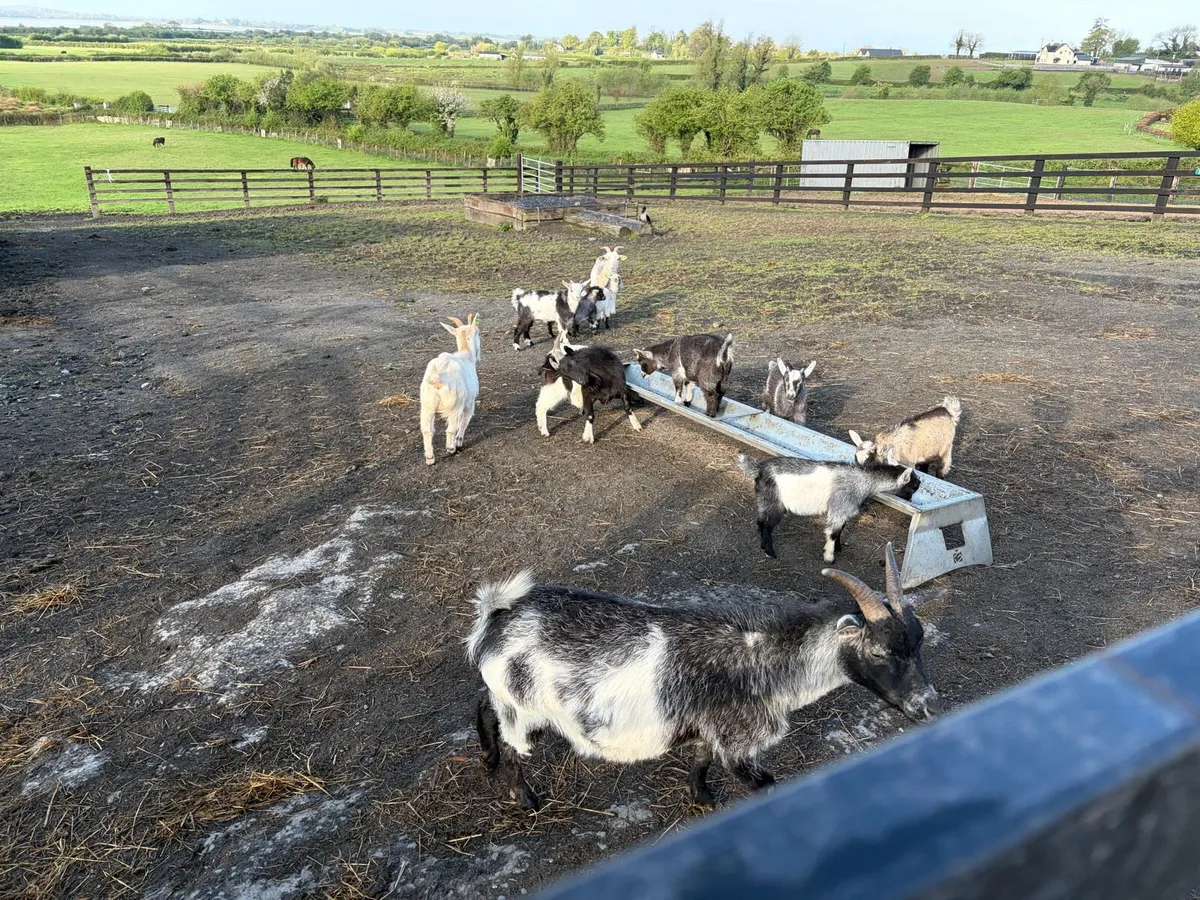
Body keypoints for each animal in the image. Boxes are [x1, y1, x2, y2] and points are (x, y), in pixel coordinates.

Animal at [419, 315, 481, 465]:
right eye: (478, 333)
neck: (466, 355)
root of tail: (438, 376)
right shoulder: (469, 401)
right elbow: (465, 421)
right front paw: (459, 442)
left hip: (427, 405)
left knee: (427, 430)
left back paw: (430, 457)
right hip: (455, 404)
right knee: (451, 429)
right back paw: (451, 448)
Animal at [467, 542, 941, 810]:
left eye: (919, 641)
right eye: (878, 651)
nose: (926, 704)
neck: (762, 660)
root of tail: (498, 616)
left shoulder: (712, 729)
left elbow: (700, 759)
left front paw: (703, 797)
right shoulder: (739, 744)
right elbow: (764, 784)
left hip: (508, 698)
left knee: (483, 704)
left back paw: (487, 759)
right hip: (523, 709)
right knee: (513, 744)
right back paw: (524, 797)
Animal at [737, 454, 919, 562]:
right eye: (915, 485)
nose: (912, 499)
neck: (863, 480)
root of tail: (760, 468)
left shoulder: (843, 509)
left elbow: (841, 529)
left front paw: (838, 548)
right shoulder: (840, 506)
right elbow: (833, 532)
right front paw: (829, 556)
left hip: (764, 498)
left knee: (761, 521)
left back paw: (762, 543)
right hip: (774, 500)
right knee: (768, 524)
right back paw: (770, 551)